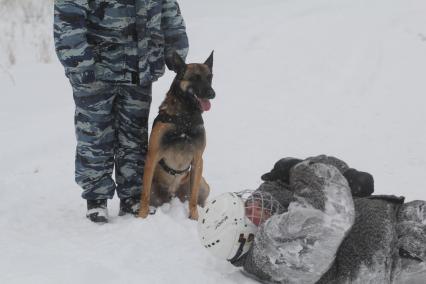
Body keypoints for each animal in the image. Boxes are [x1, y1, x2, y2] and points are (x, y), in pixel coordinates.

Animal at [138, 51, 215, 220]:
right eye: (195, 78)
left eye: (210, 77)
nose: (212, 94)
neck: (185, 118)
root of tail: (172, 196)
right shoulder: (153, 156)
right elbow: (144, 194)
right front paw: (141, 216)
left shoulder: (198, 159)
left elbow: (193, 198)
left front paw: (194, 218)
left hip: (202, 184)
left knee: (196, 197)